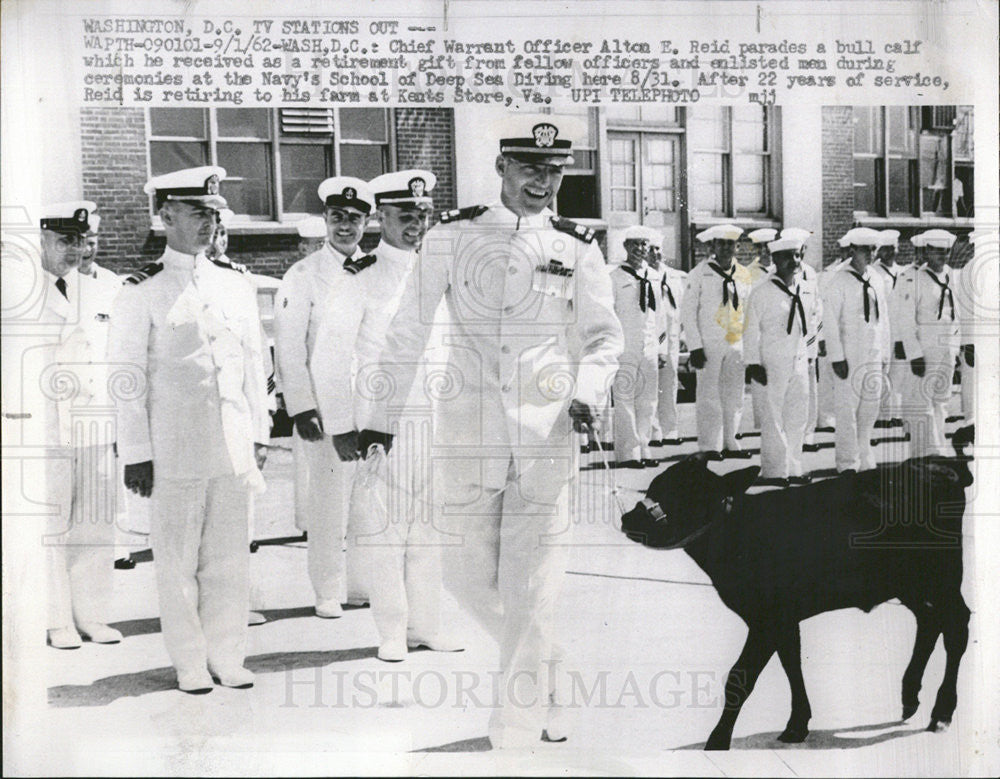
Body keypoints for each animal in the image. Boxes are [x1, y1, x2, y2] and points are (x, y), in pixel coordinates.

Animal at [620, 454, 972, 752]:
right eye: (656, 485)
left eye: (687, 493)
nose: (628, 518)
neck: (739, 530)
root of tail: (939, 463)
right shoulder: (782, 618)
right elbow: (791, 662)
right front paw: (797, 725)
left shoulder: (768, 617)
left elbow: (740, 677)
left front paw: (717, 740)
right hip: (909, 583)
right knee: (929, 622)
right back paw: (910, 696)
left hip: (942, 577)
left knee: (957, 626)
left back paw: (941, 712)